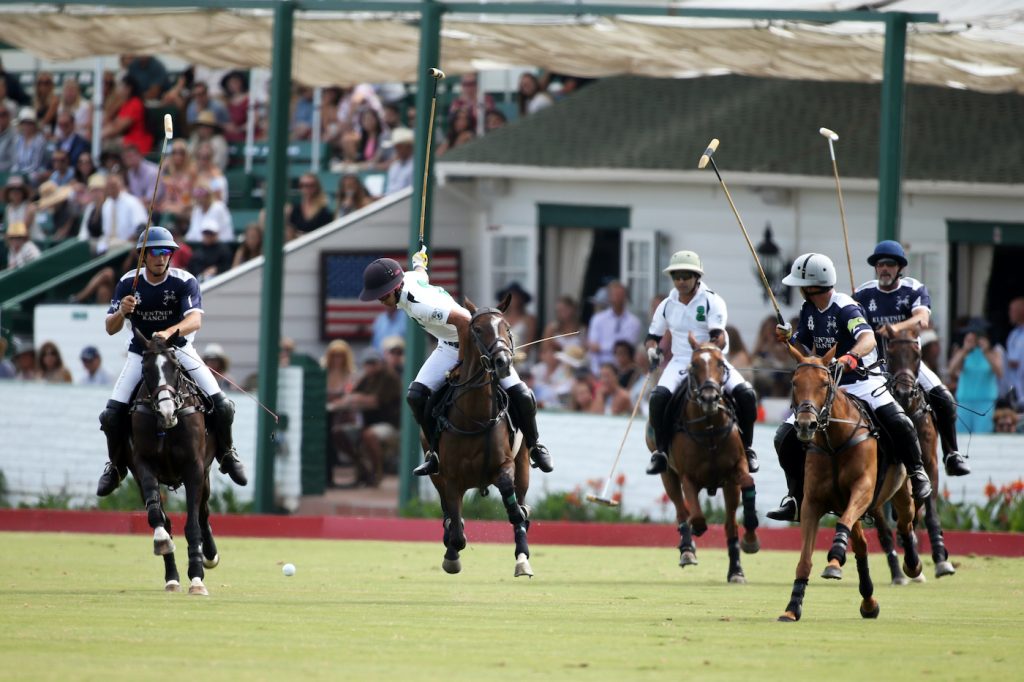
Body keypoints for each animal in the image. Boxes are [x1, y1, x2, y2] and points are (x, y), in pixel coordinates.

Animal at [130, 331, 220, 593]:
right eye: (145, 368)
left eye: (176, 366)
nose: (167, 412)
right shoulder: (142, 465)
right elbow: (157, 516)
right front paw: (162, 542)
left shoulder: (194, 468)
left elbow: (192, 525)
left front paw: (197, 579)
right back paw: (172, 577)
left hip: (206, 474)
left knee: (203, 513)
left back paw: (209, 555)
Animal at [428, 294, 536, 577]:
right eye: (477, 329)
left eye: (507, 328)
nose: (503, 363)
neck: (474, 417)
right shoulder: (450, 477)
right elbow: (456, 530)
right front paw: (452, 554)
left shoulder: (505, 464)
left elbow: (514, 508)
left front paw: (522, 552)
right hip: (435, 473)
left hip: (523, 465)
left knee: (520, 501)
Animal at [647, 331, 761, 581]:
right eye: (693, 365)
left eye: (720, 363)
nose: (710, 398)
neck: (709, 429)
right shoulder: (687, 476)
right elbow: (695, 515)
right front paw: (692, 538)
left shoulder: (736, 470)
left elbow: (748, 483)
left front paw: (751, 539)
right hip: (667, 474)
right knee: (681, 510)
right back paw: (687, 550)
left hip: (729, 487)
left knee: (730, 524)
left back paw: (736, 570)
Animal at [782, 346, 921, 622]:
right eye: (794, 382)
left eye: (825, 383)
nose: (805, 425)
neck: (833, 442)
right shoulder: (811, 502)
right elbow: (804, 559)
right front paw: (792, 607)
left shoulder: (863, 489)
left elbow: (843, 524)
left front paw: (835, 556)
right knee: (861, 544)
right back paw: (868, 602)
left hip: (900, 491)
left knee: (905, 523)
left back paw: (912, 564)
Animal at [884, 323, 954, 577]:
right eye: (890, 354)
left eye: (917, 355)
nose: (904, 393)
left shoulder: (929, 463)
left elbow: (928, 505)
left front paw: (941, 557)